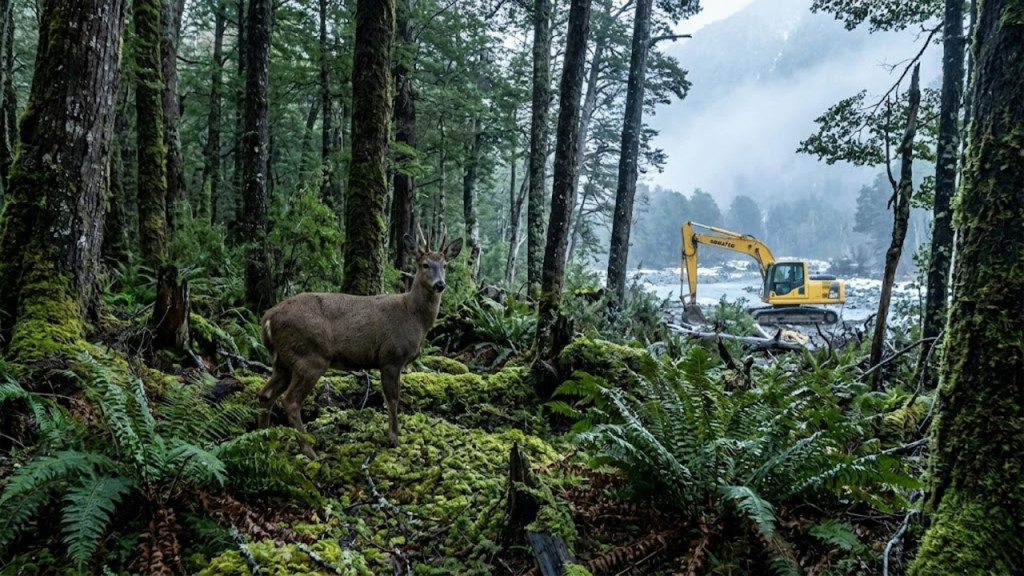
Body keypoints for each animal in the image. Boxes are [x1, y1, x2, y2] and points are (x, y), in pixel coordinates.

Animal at [256, 226, 464, 459]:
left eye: (445, 265)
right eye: (425, 264)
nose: (440, 284)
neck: (412, 315)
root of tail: (267, 319)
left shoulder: (398, 363)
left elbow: (396, 397)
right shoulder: (390, 357)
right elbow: (392, 399)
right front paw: (393, 439)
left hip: (282, 360)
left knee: (265, 395)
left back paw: (264, 443)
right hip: (310, 356)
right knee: (290, 401)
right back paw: (310, 451)